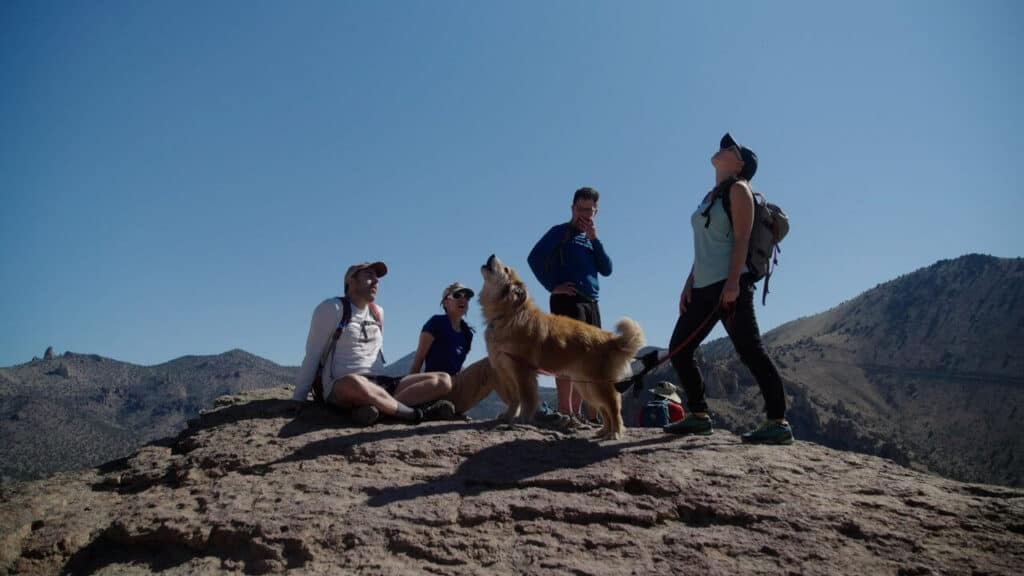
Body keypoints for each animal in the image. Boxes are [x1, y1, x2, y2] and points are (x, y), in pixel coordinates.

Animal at [477, 253, 638, 436]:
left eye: (505, 269)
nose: (492, 255)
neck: (509, 314)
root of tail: (610, 339)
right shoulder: (506, 371)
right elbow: (514, 399)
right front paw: (508, 416)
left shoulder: (523, 372)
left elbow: (526, 399)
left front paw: (522, 419)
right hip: (587, 387)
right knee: (603, 409)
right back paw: (604, 431)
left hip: (599, 384)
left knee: (613, 406)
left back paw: (616, 432)